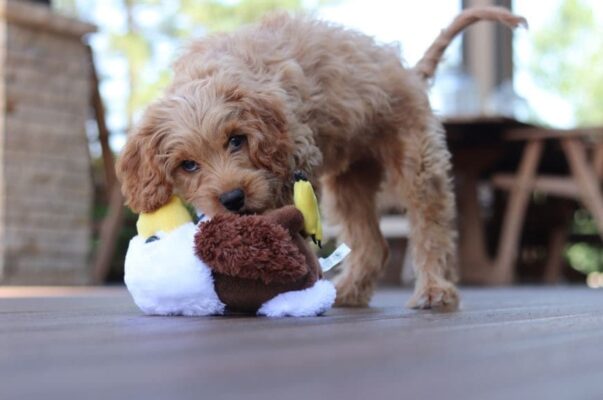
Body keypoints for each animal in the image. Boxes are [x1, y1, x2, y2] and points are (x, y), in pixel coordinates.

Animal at [115, 7, 528, 312]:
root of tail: (408, 72)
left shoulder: (293, 163)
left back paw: (434, 290)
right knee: (373, 245)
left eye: (236, 140)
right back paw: (350, 292)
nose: (233, 199)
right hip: (349, 185)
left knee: (432, 230)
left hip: (418, 164)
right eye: (188, 165)